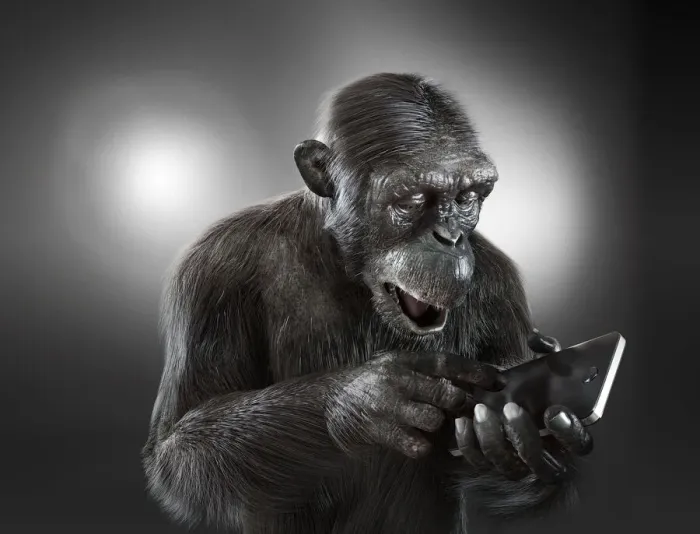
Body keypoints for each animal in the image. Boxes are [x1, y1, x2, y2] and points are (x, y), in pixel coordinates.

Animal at [142, 72, 592, 533]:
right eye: (411, 199)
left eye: (467, 197)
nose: (449, 238)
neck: (344, 263)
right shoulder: (214, 271)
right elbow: (178, 442)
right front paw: (364, 400)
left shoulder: (503, 292)